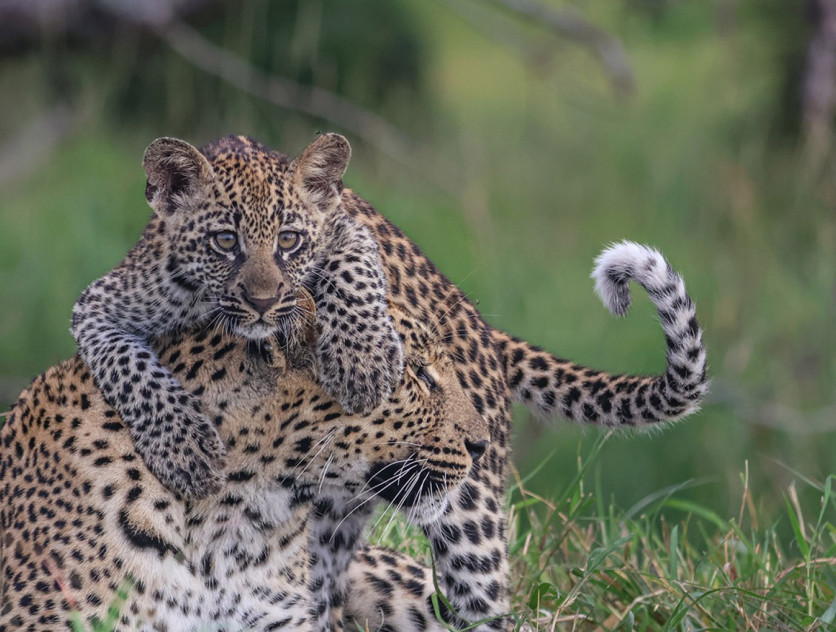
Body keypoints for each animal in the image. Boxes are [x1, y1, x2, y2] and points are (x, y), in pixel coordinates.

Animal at [70, 133, 404, 503]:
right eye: (226, 240)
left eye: (289, 239)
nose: (263, 301)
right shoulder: (96, 305)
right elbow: (130, 370)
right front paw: (187, 449)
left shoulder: (345, 229)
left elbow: (353, 268)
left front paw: (362, 364)